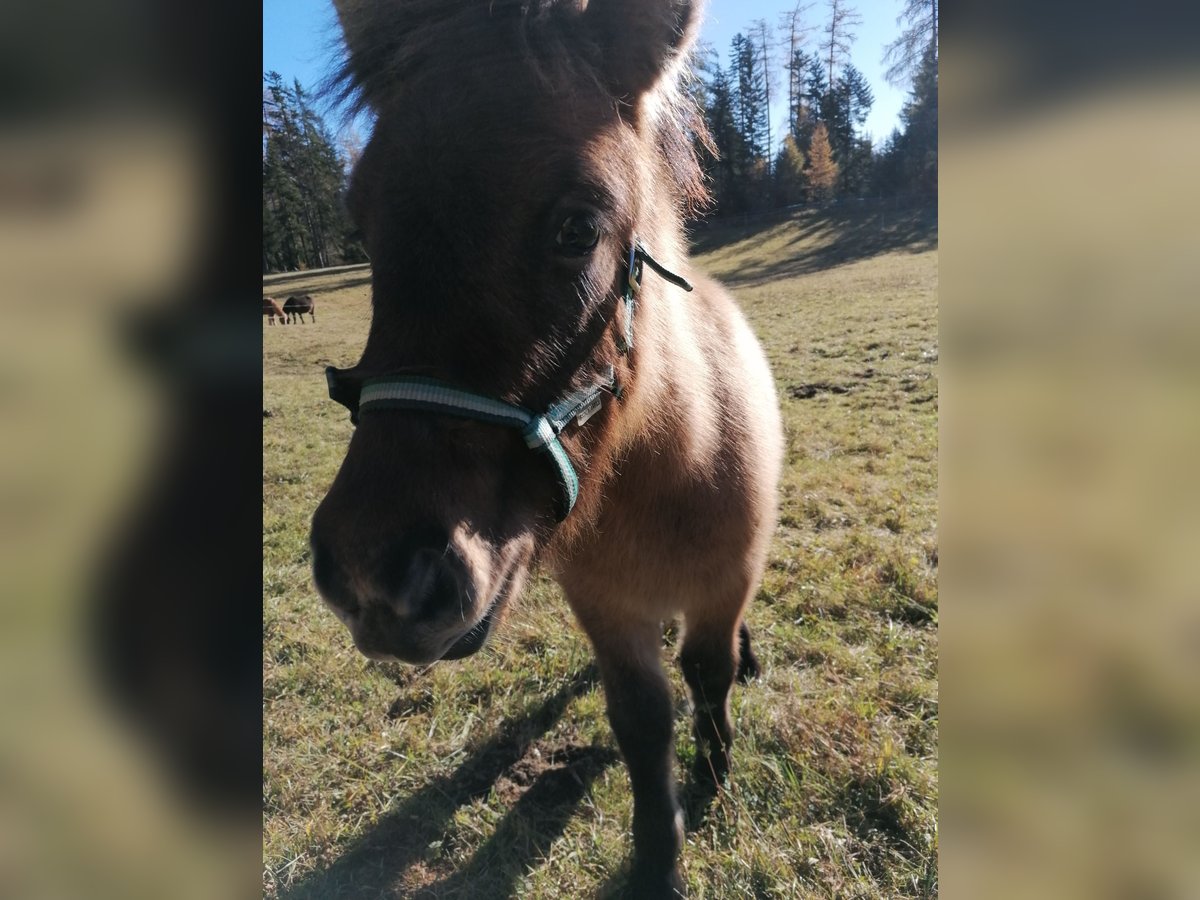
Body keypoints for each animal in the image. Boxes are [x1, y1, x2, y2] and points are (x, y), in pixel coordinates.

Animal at [311, 0, 782, 894]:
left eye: (578, 227)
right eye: (360, 219)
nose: (377, 580)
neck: (663, 475)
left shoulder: (723, 584)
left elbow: (706, 676)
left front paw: (714, 773)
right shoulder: (604, 608)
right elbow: (641, 719)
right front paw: (658, 854)